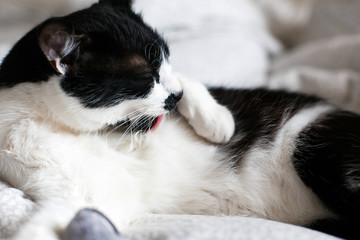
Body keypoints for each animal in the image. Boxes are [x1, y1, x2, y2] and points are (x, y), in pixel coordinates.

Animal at [0, 0, 358, 240]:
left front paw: (215, 119)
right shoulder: (74, 194)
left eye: (167, 61)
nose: (175, 96)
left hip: (315, 148)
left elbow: (192, 80)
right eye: (146, 77)